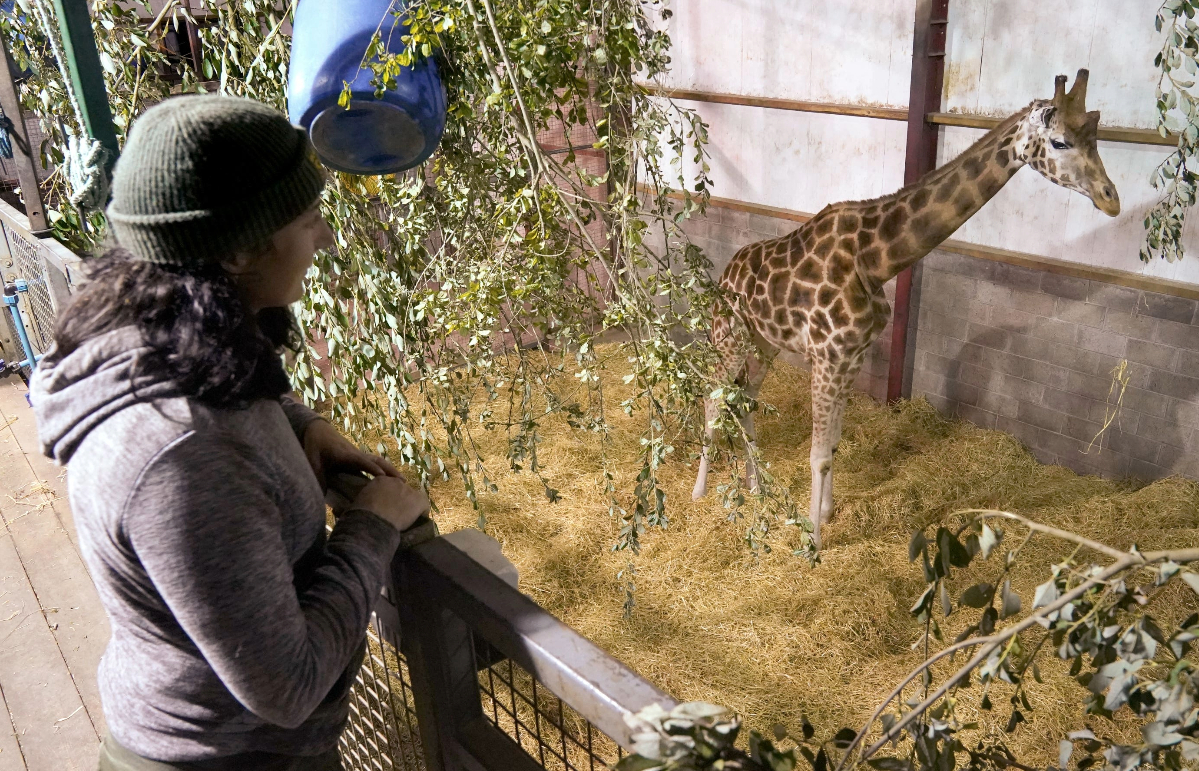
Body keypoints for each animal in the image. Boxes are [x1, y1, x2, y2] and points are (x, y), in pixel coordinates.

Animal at [695, 67, 1122, 549]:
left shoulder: (852, 356)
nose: (1111, 198)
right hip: (729, 335)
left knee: (745, 400)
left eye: (1096, 140)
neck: (875, 260)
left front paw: (825, 514)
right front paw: (813, 541)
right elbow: (818, 454)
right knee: (713, 396)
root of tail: (725, 276)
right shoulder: (828, 356)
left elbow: (834, 444)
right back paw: (699, 493)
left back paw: (756, 485)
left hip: (763, 343)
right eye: (1061, 142)